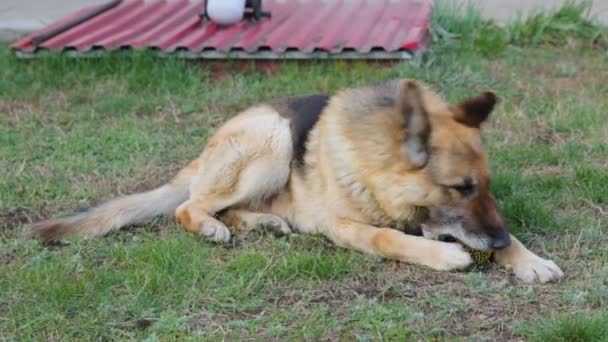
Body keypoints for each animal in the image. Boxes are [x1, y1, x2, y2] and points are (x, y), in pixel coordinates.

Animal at [27, 79, 560, 284]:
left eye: (484, 185)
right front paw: (444, 255)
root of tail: (201, 156)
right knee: (189, 206)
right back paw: (213, 227)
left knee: (227, 207)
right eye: (460, 188)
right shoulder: (345, 227)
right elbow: (388, 237)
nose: (498, 241)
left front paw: (527, 258)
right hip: (273, 139)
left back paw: (262, 223)